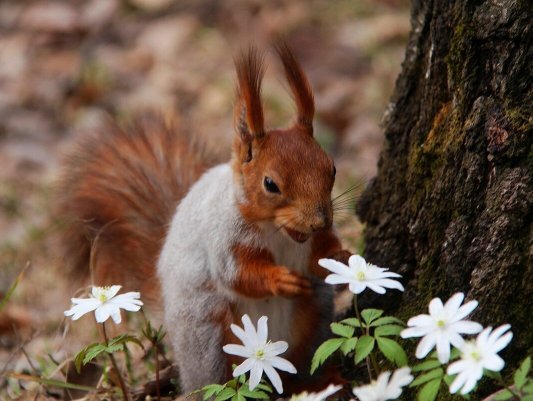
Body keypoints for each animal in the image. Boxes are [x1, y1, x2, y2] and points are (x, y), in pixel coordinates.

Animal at [58, 43, 352, 390]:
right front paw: (279, 279)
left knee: (298, 371)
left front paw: (342, 256)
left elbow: (320, 257)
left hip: (313, 319)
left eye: (332, 169)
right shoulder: (224, 239)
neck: (278, 231)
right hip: (209, 336)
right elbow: (238, 275)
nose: (320, 221)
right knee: (218, 380)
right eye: (270, 184)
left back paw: (318, 382)